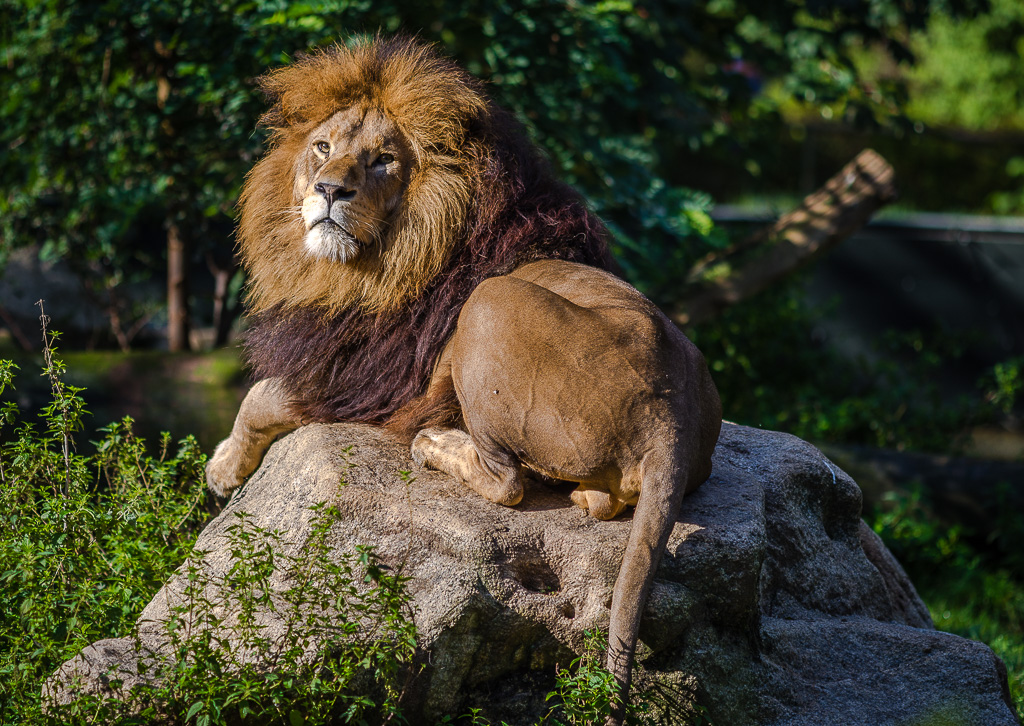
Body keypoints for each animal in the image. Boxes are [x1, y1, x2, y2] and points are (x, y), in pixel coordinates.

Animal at [206, 36, 722, 723]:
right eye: (322, 147)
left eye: (383, 160)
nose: (328, 190)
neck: (367, 268)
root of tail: (672, 417)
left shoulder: (369, 379)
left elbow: (260, 396)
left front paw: (223, 468)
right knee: (595, 500)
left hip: (488, 304)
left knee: (509, 483)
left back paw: (437, 447)